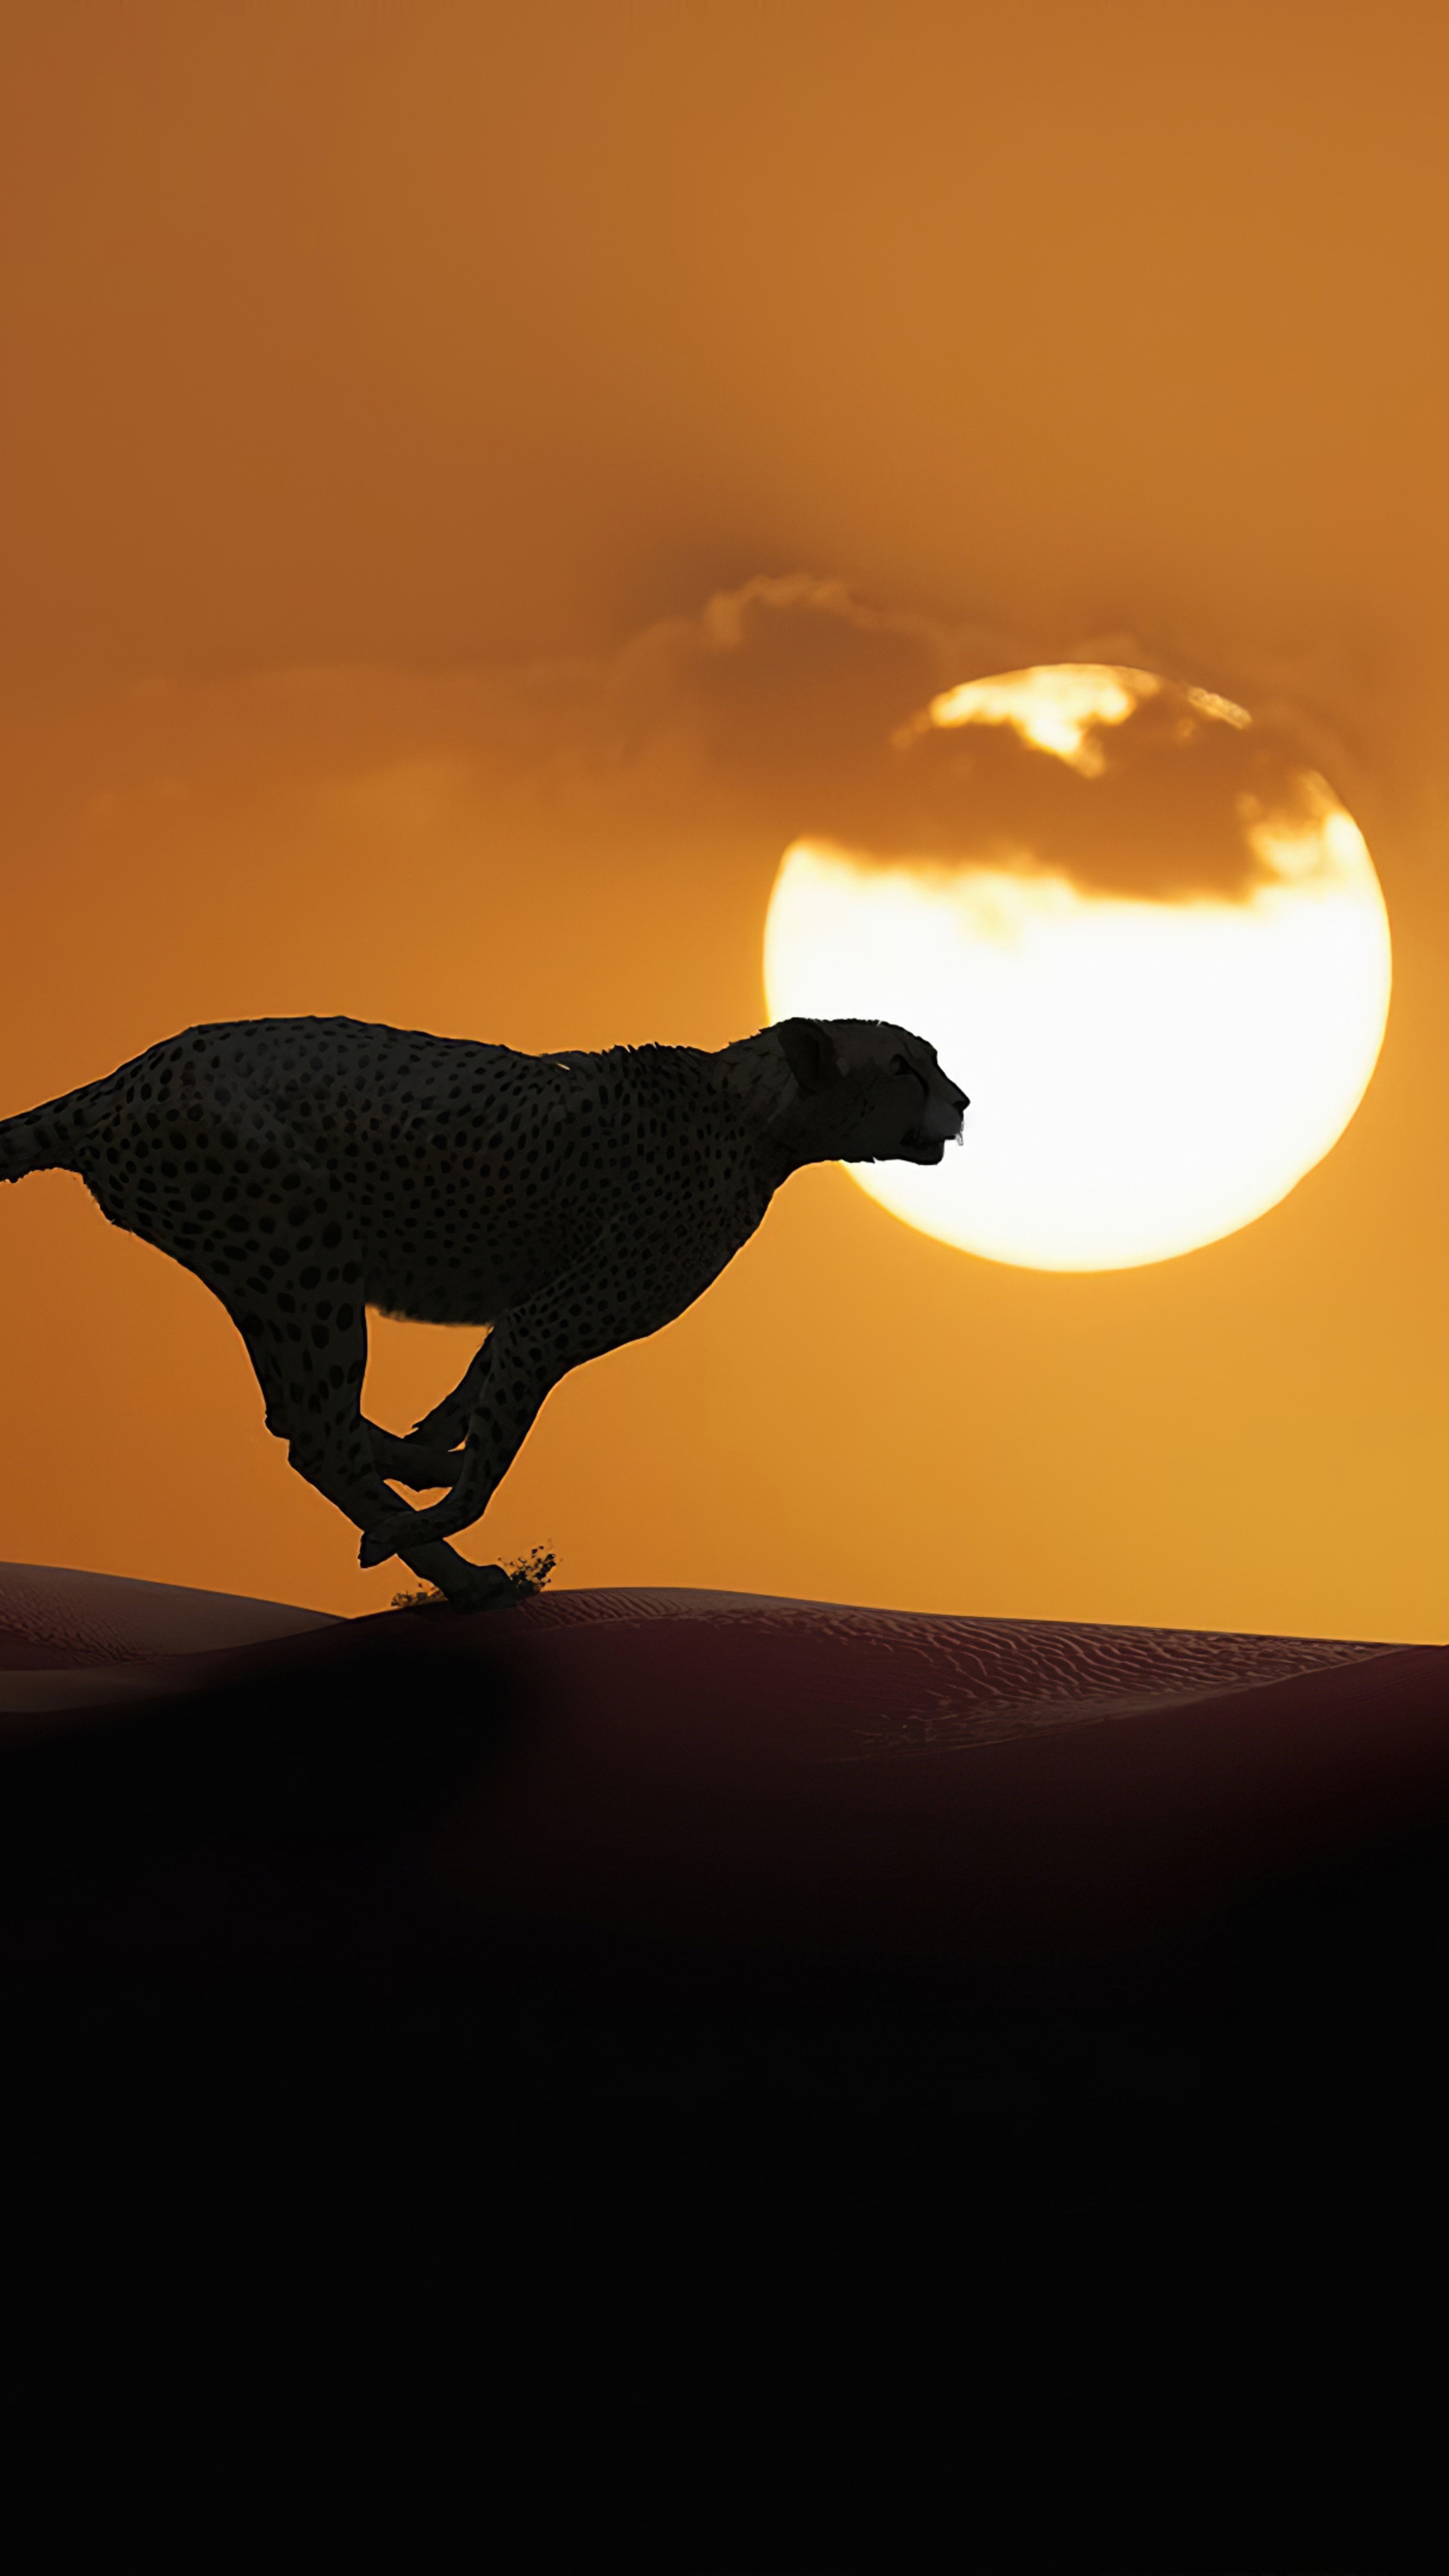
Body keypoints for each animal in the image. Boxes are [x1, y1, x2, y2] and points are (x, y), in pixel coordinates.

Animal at [1, 1015, 968, 1609]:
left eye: (931, 1059)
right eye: (903, 1066)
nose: (962, 1103)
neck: (759, 1115)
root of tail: (132, 1073)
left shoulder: (530, 1312)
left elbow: (475, 1391)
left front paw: (432, 1451)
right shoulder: (557, 1318)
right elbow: (494, 1453)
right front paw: (429, 1518)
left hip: (265, 1271)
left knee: (307, 1420)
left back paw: (416, 1487)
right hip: (302, 1253)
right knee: (318, 1434)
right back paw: (453, 1569)